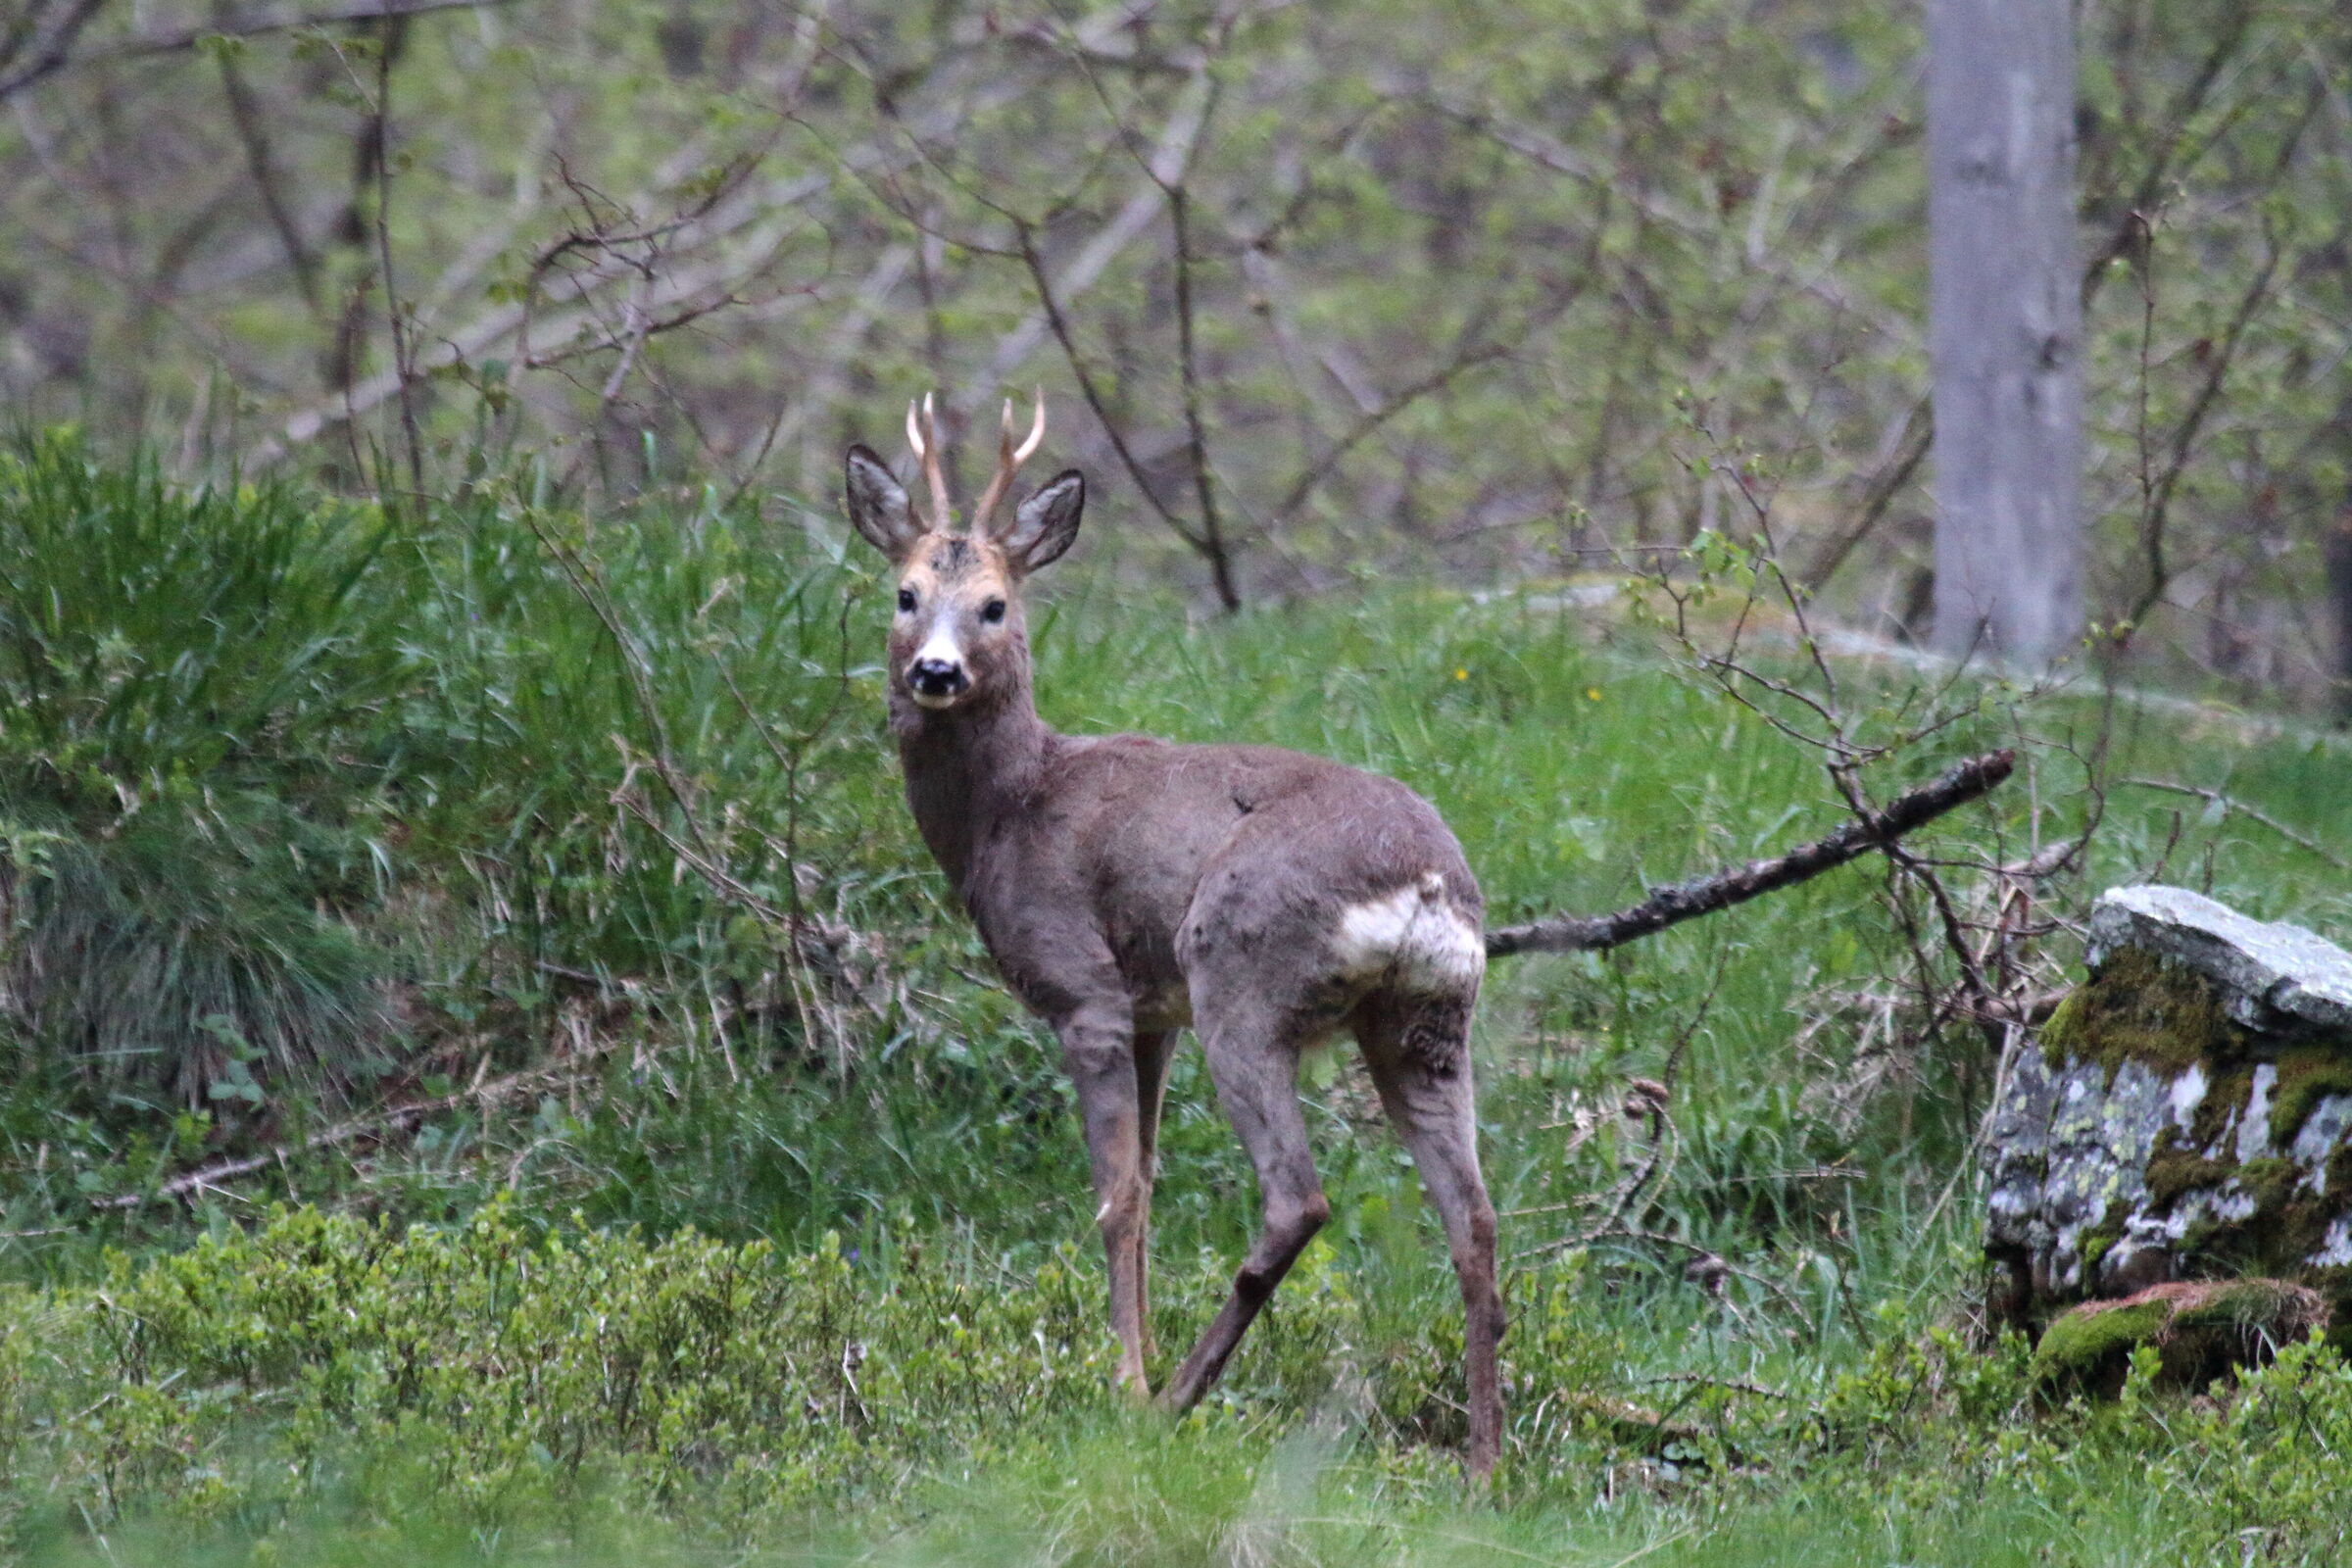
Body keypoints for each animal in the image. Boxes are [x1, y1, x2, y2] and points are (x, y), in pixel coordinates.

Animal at [843, 393, 1504, 1476]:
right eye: (905, 594)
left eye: (995, 605)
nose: (936, 672)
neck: (1007, 812)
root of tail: (1423, 880)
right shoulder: (1153, 1013)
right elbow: (1148, 1186)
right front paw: (1136, 1354)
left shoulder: (1086, 990)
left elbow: (1115, 1195)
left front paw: (1122, 1381)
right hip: (1427, 1022)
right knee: (1474, 1216)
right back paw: (1485, 1465)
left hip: (1242, 977)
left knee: (1298, 1199)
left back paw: (1175, 1404)